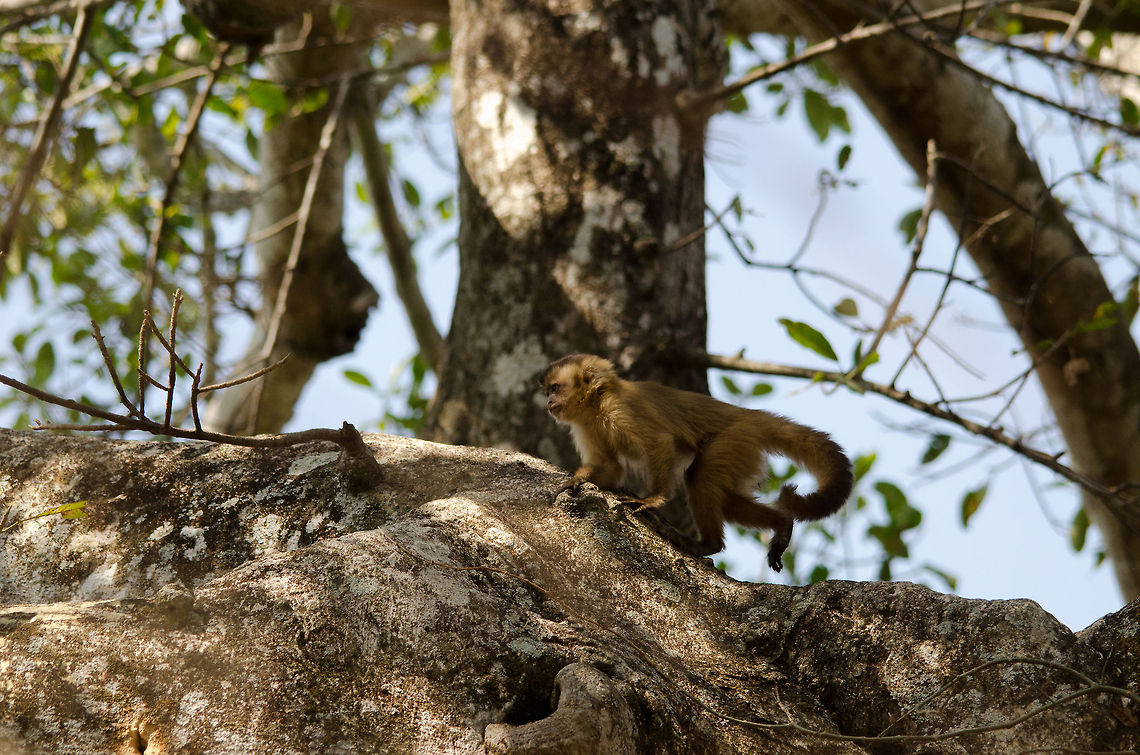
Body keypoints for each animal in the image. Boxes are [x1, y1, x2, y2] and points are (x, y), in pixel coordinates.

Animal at [540, 354, 853, 572]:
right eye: (547, 392)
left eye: (555, 388)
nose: (548, 403)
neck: (596, 403)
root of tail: (747, 414)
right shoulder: (584, 424)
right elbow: (611, 470)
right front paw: (578, 478)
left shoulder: (621, 408)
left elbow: (659, 443)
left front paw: (652, 500)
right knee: (727, 499)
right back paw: (782, 524)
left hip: (733, 439)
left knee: (699, 478)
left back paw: (707, 544)